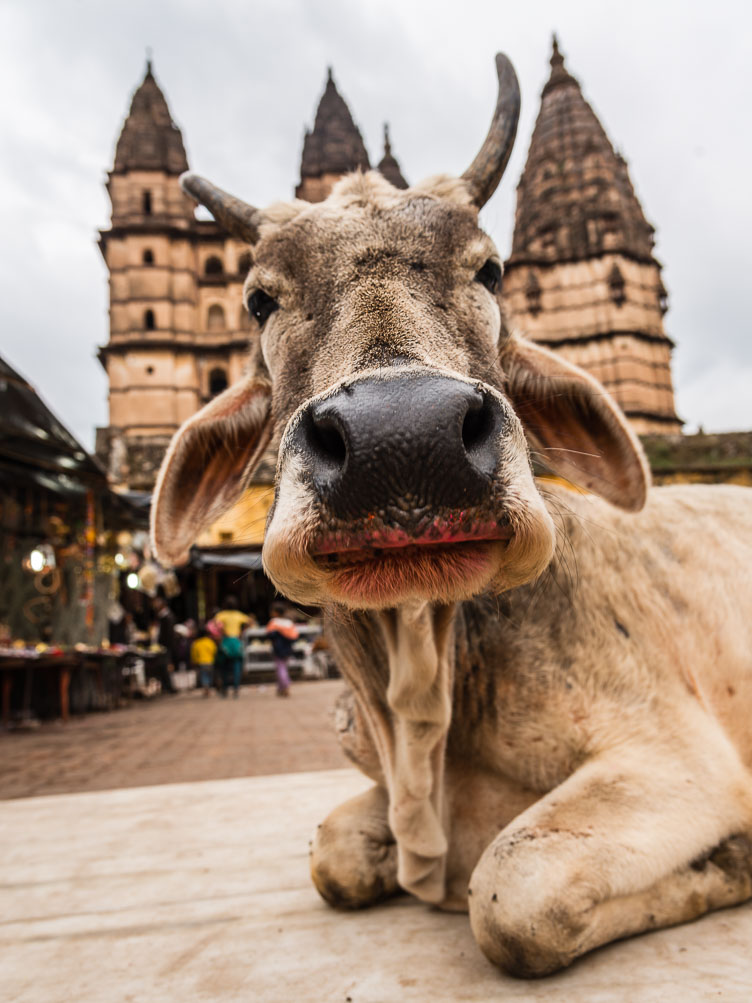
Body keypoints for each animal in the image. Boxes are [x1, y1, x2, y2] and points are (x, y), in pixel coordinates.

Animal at [151, 54, 752, 978]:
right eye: (258, 299)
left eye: (490, 269)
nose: (403, 441)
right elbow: (331, 853)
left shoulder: (676, 753)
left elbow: (513, 892)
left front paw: (733, 858)